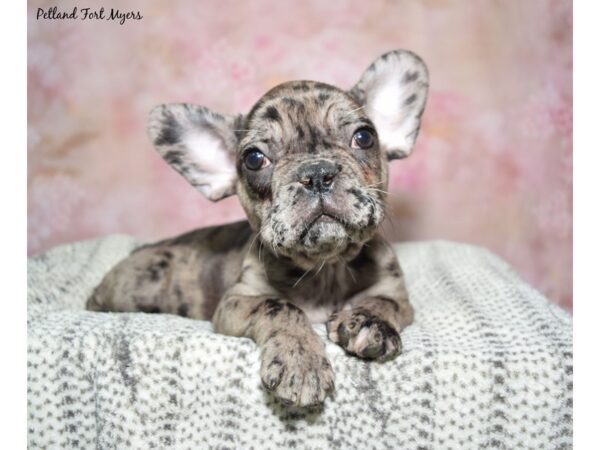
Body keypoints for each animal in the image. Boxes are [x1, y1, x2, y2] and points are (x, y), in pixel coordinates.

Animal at [86, 49, 428, 408]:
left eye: (364, 137)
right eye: (253, 159)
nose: (316, 173)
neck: (326, 267)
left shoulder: (396, 291)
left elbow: (385, 302)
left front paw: (370, 321)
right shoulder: (237, 301)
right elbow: (279, 306)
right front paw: (300, 360)